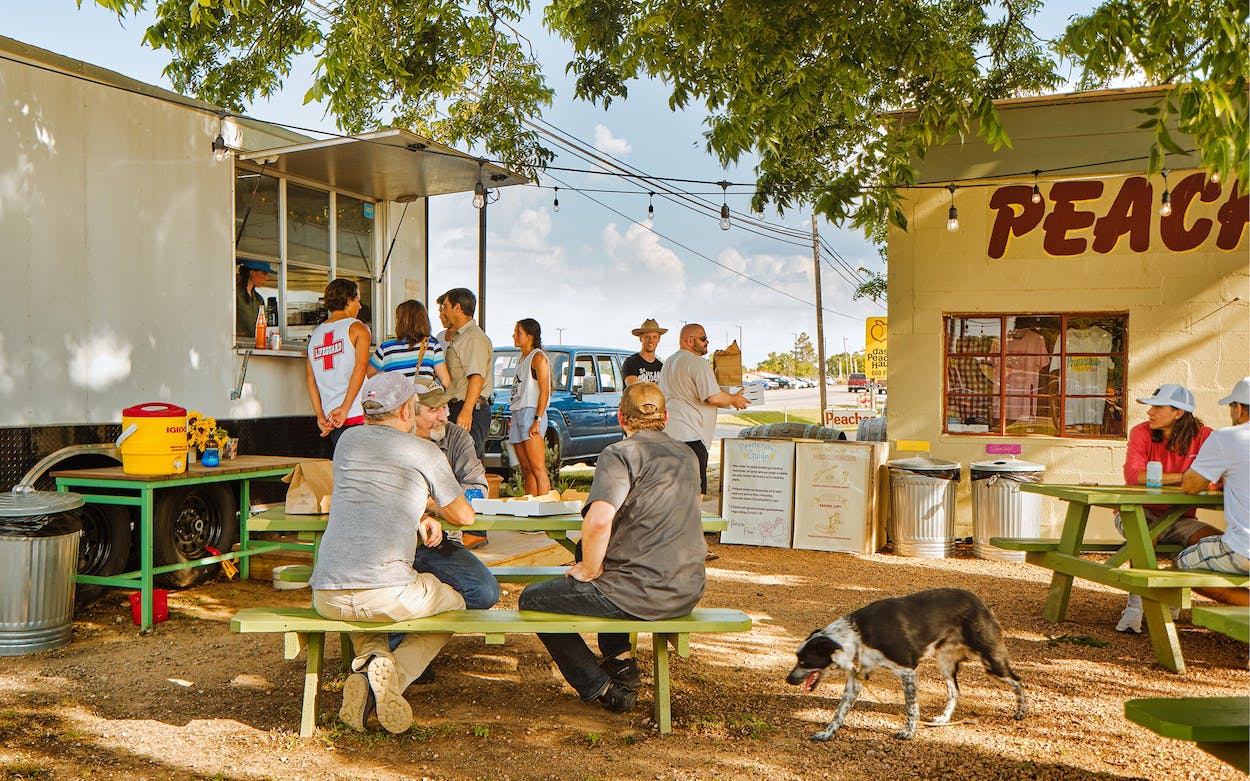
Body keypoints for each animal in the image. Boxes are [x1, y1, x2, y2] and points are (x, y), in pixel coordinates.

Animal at [787, 588, 1027, 740]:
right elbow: (840, 711)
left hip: (991, 661)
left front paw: (909, 733)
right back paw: (943, 718)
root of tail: (981, 604)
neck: (858, 634)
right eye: (798, 658)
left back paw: (1021, 712)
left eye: (805, 660)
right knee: (955, 691)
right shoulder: (857, 678)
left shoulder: (908, 671)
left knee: (1017, 680)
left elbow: (911, 708)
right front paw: (828, 733)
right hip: (945, 663)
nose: (788, 680)